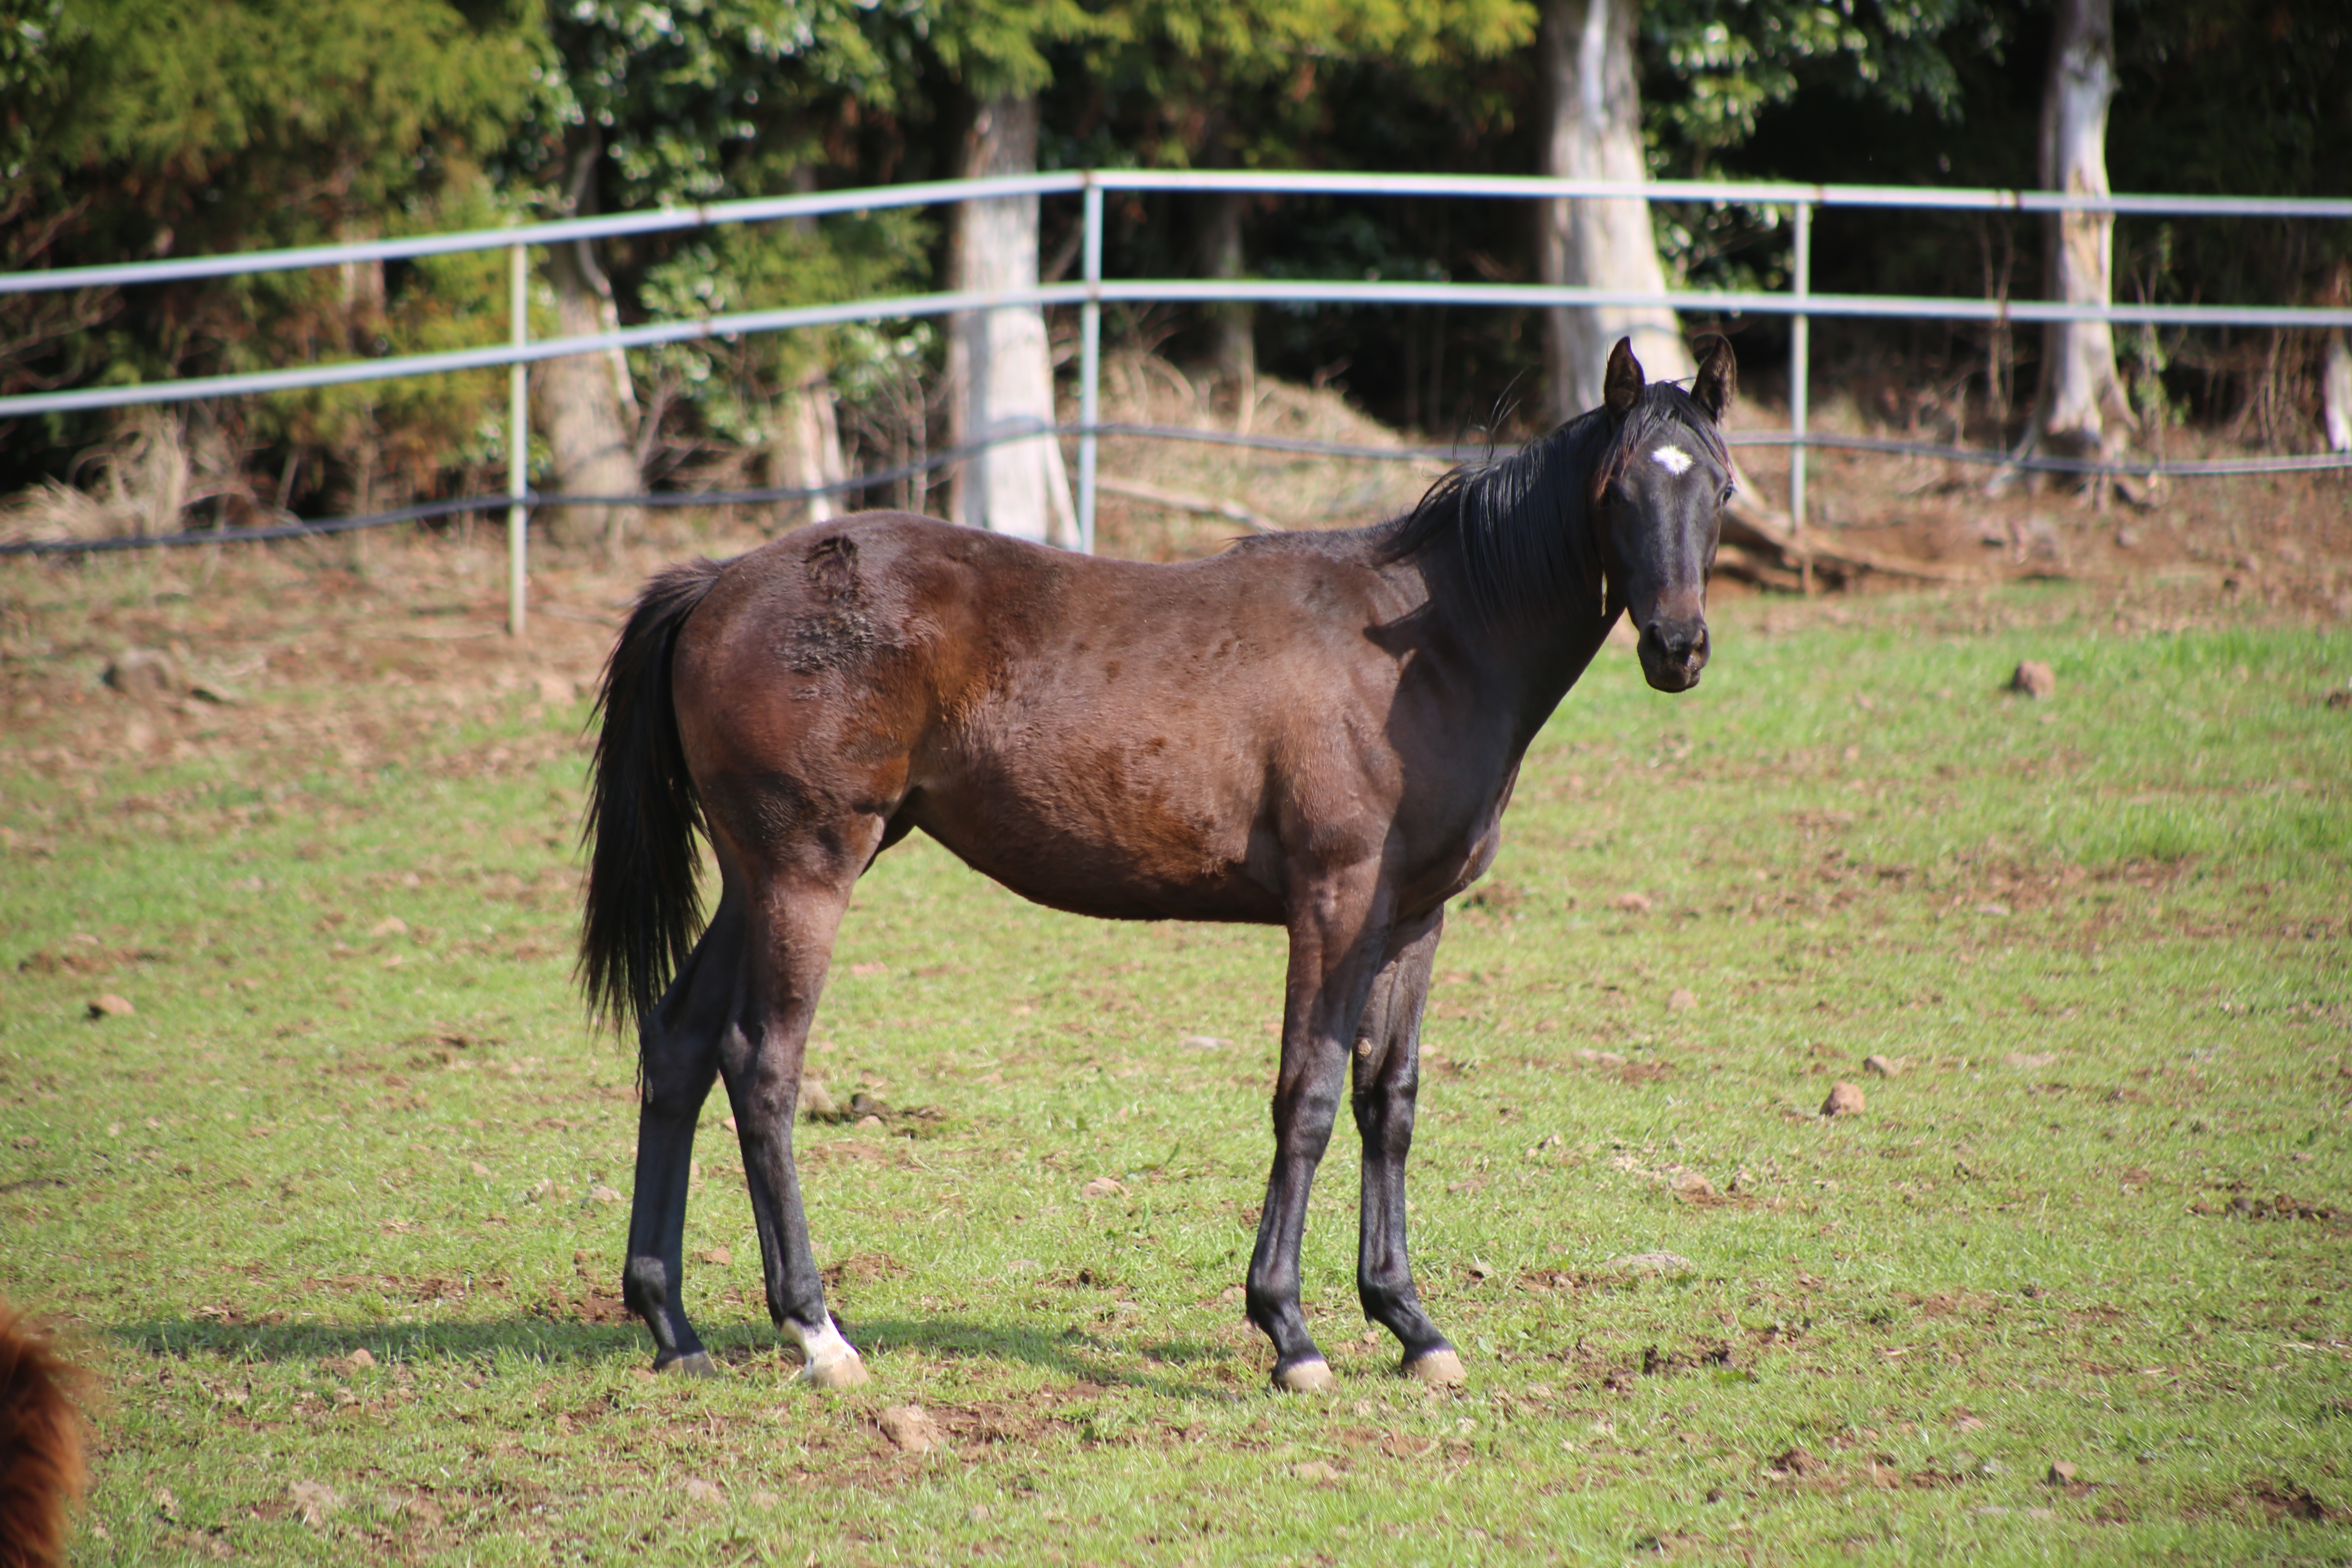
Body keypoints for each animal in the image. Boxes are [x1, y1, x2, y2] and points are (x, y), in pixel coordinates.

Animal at [578, 339, 1740, 1392]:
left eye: (1718, 487)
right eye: (1618, 488)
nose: (1678, 648)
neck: (1426, 651)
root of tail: (719, 584)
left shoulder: (1414, 918)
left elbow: (1389, 1101)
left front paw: (1410, 1323)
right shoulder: (1334, 906)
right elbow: (1308, 1097)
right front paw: (1289, 1332)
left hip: (754, 876)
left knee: (680, 1044)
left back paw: (673, 1324)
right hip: (806, 872)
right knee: (763, 1065)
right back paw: (818, 1332)